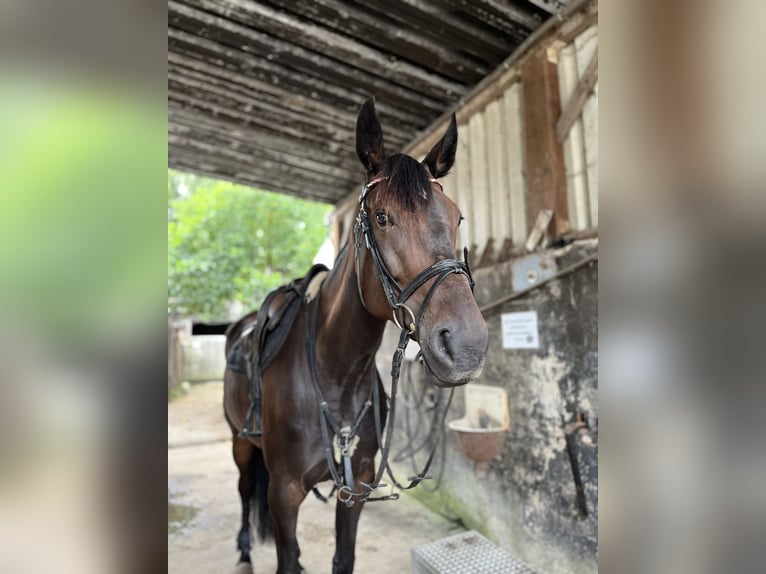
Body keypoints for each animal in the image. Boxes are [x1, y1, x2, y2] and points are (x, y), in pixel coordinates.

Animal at [222, 99, 488, 574]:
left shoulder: (356, 489)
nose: (466, 346)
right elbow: (288, 556)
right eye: (381, 217)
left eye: (457, 216)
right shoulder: (283, 493)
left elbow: (342, 557)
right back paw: (244, 549)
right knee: (242, 487)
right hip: (239, 442)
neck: (337, 376)